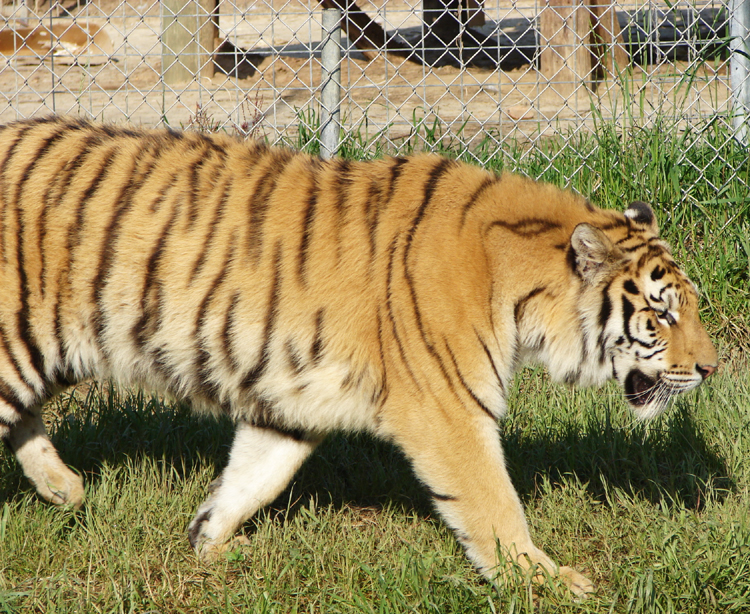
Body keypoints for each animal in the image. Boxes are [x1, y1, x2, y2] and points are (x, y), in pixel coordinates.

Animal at [0, 115, 716, 596]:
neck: (519, 286)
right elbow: (494, 504)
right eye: (662, 314)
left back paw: (65, 488)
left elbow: (255, 476)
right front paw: (547, 582)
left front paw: (209, 543)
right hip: (17, 341)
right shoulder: (450, 411)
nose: (711, 369)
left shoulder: (292, 401)